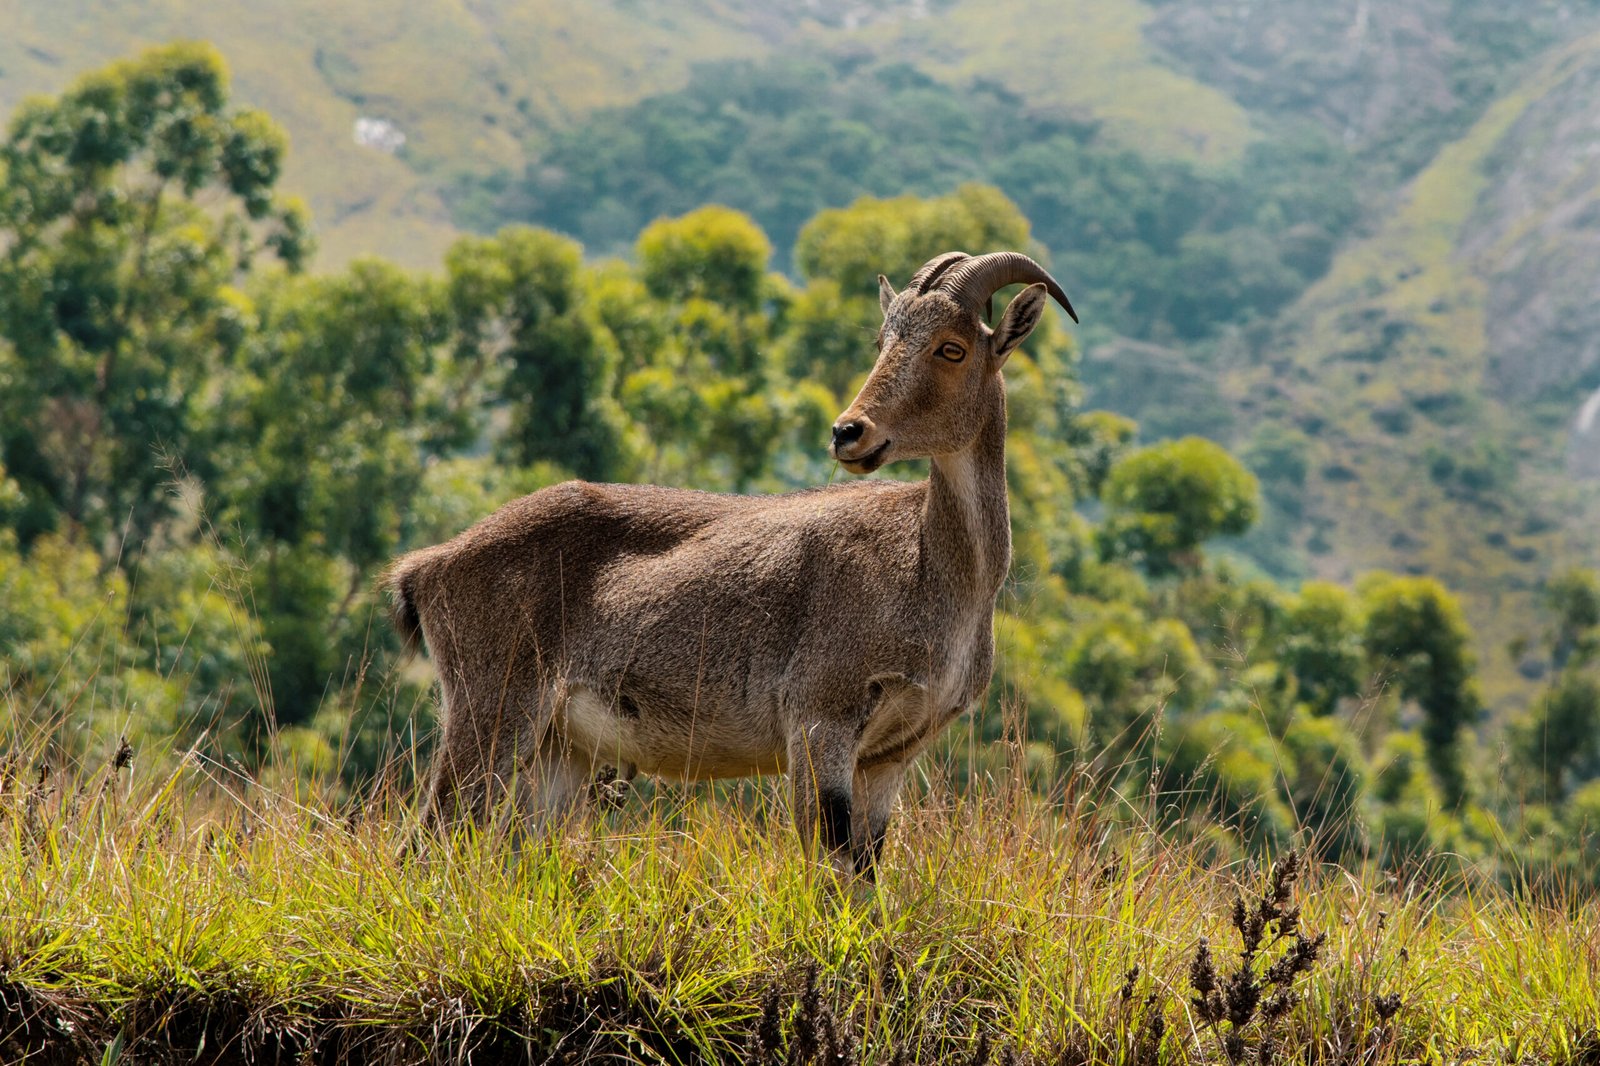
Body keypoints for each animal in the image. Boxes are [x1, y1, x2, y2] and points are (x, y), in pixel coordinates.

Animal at [387, 249, 1081, 870]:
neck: (930, 567)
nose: (848, 432)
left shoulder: (892, 753)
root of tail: (427, 568)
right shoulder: (820, 720)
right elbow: (828, 863)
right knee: (424, 842)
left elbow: (864, 872)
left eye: (951, 348)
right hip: (491, 707)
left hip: (561, 748)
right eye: (884, 339)